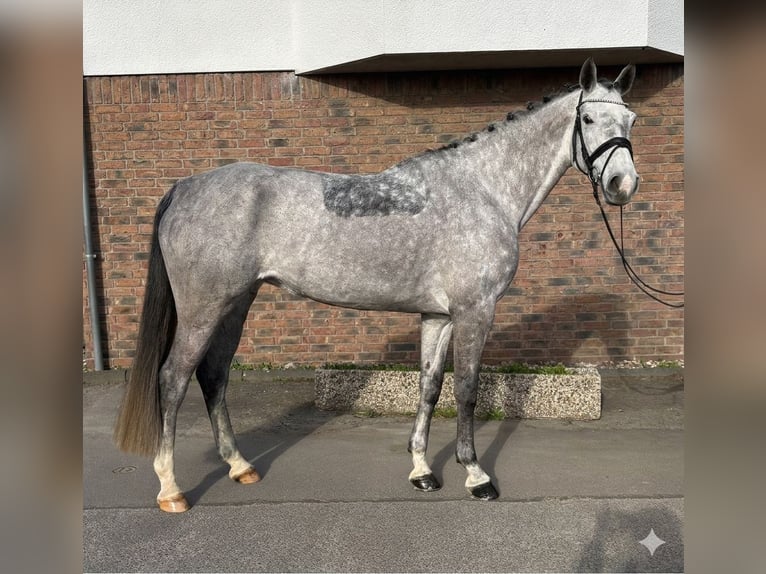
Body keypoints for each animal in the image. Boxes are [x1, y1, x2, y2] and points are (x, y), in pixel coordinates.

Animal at [114, 59, 639, 512]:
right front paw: (476, 476)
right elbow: (467, 389)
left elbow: (430, 387)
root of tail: (185, 186)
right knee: (173, 379)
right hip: (203, 308)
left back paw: (240, 466)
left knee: (214, 376)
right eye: (588, 117)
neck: (484, 190)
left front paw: (423, 471)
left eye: (631, 119)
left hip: (236, 304)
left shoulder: (439, 316)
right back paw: (171, 490)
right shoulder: (476, 310)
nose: (622, 184)